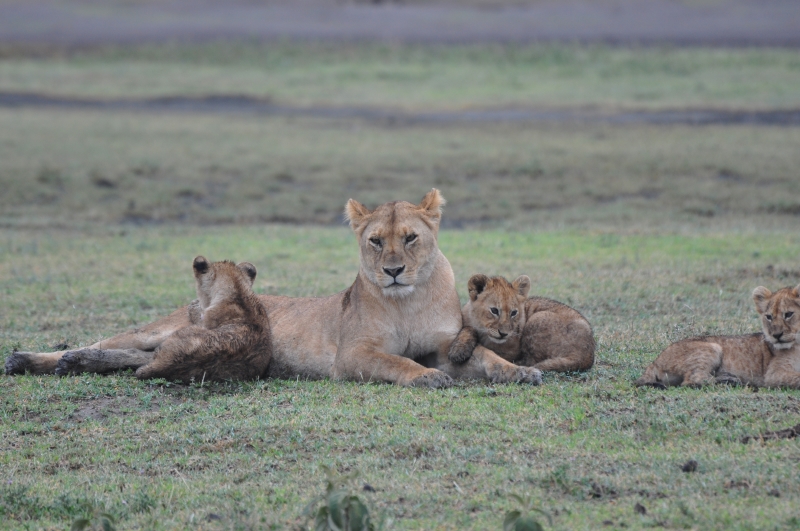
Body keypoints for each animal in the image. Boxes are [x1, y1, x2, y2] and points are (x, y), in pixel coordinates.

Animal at [6, 189, 540, 387]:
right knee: (108, 342)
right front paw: (425, 377)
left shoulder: (447, 345)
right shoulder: (353, 355)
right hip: (161, 328)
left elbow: (485, 357)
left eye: (410, 238)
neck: (406, 300)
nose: (392, 271)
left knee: (129, 358)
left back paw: (77, 364)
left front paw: (521, 371)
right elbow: (397, 362)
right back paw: (32, 359)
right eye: (375, 241)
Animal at [451, 274, 595, 373]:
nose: (503, 334)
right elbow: (468, 329)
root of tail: (587, 355)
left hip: (537, 318)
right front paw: (458, 350)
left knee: (530, 361)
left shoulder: (512, 350)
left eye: (514, 312)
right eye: (494, 310)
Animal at [635, 284, 800, 388]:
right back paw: (729, 380)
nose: (776, 335)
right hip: (712, 347)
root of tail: (655, 361)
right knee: (693, 380)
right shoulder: (774, 374)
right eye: (769, 317)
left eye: (788, 314)